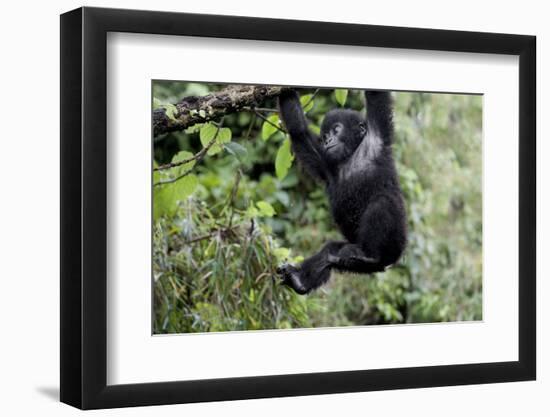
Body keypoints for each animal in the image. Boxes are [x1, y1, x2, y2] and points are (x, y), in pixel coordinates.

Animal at [278, 89, 408, 294]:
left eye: (336, 130)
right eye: (324, 136)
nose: (328, 140)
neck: (351, 155)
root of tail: (385, 265)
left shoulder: (377, 137)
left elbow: (376, 97)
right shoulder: (326, 162)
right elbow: (299, 132)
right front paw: (286, 91)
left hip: (394, 245)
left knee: (382, 201)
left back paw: (370, 255)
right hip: (350, 254)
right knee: (331, 251)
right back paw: (300, 280)